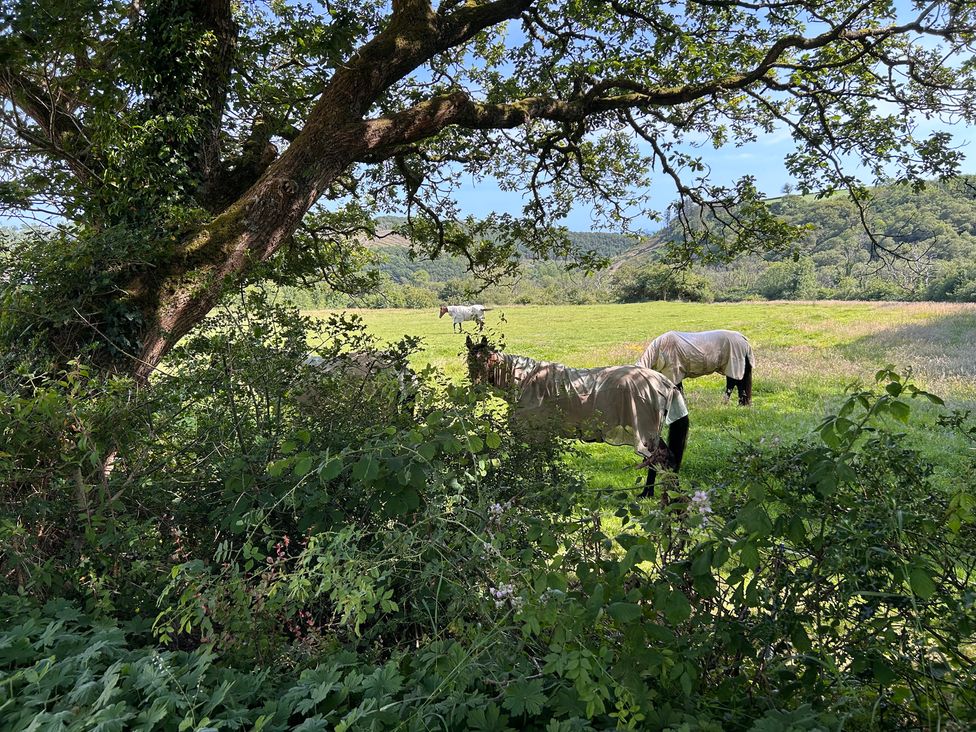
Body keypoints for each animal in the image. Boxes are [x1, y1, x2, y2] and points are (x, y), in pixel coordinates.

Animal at [466, 335, 689, 497]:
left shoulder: (536, 433)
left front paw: (540, 487)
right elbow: (547, 460)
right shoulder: (545, 434)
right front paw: (552, 484)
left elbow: (538, 462)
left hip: (645, 432)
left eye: (488, 361)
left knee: (661, 458)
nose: (476, 391)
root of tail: (666, 383)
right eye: (469, 362)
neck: (526, 381)